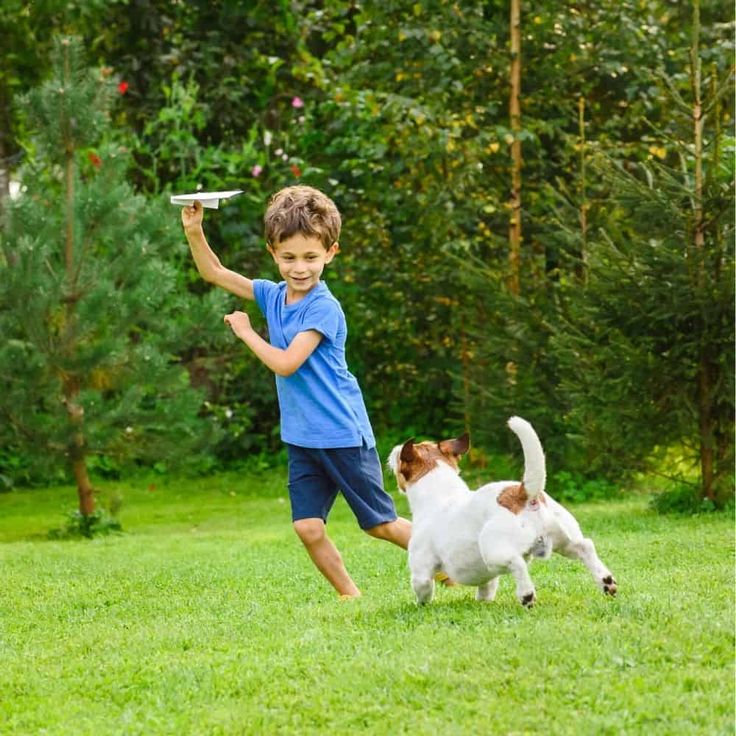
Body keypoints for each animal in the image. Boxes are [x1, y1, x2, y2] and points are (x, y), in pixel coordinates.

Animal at [388, 416, 620, 608]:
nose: (393, 450)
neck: (440, 493)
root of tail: (524, 494)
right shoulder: (487, 577)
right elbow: (487, 587)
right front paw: (483, 602)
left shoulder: (421, 568)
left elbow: (423, 588)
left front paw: (420, 605)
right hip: (563, 538)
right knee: (585, 547)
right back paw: (606, 582)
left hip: (493, 549)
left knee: (517, 563)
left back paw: (527, 596)